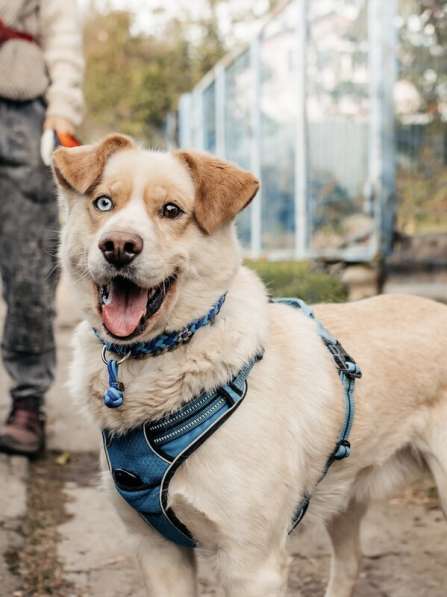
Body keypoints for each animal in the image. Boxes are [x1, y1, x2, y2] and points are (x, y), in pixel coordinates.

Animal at [51, 133, 447, 592]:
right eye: (103, 203)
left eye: (171, 210)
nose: (118, 246)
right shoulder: (157, 551)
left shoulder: (252, 567)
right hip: (345, 497)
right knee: (350, 562)